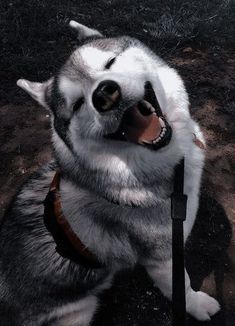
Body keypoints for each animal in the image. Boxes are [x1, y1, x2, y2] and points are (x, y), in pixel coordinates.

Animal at [0, 21, 220, 324]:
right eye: (78, 104)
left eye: (110, 62)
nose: (104, 94)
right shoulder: (163, 257)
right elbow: (182, 286)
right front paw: (198, 304)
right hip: (79, 311)